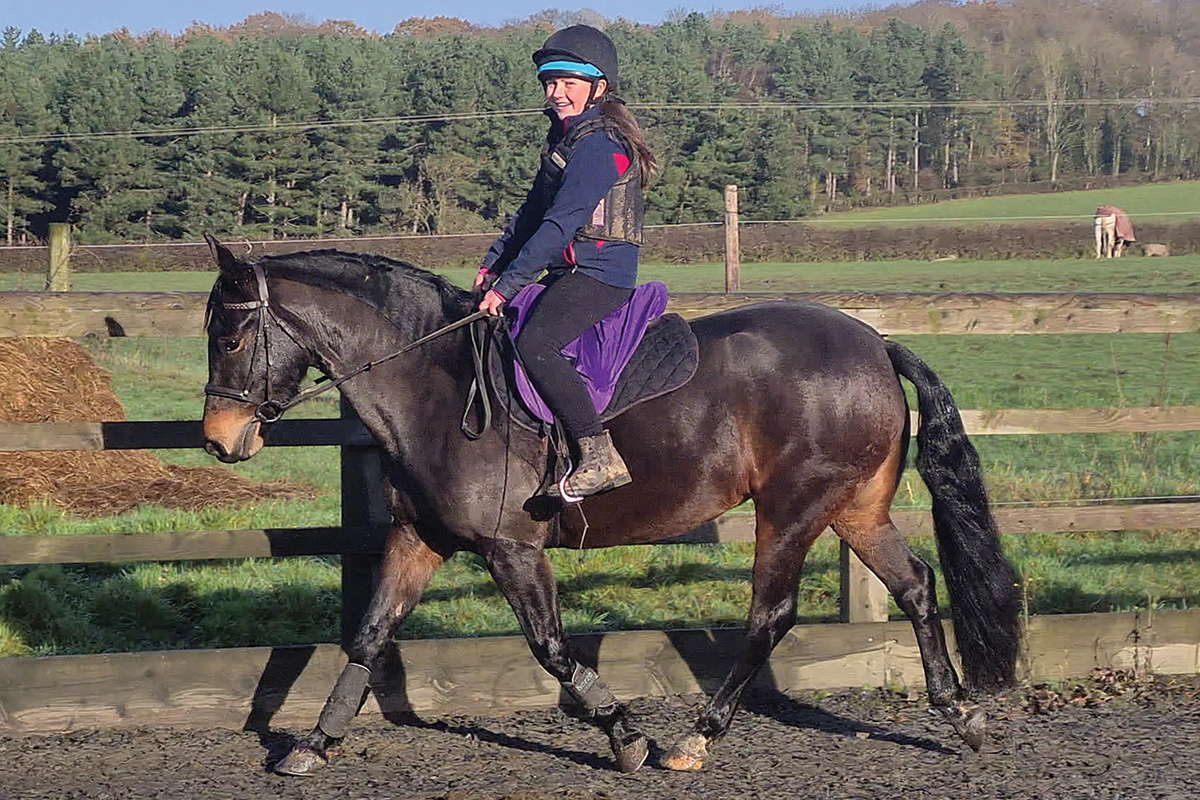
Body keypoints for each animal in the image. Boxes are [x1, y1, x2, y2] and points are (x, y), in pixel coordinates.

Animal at [199, 237, 1022, 777]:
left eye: (231, 337)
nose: (218, 440)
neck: (433, 381)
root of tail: (877, 343)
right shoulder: (417, 538)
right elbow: (369, 640)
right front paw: (313, 744)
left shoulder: (512, 548)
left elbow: (552, 647)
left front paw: (627, 736)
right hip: (853, 508)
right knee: (915, 584)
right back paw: (962, 715)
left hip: (793, 507)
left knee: (771, 615)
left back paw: (697, 739)